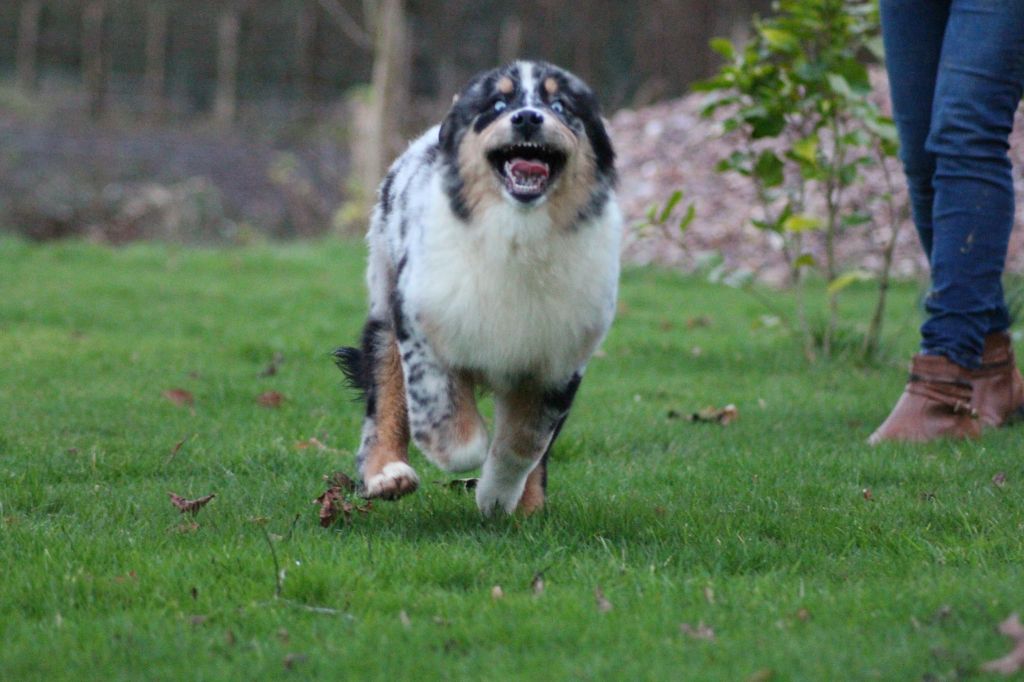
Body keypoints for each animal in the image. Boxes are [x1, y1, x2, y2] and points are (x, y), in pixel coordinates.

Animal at [335, 59, 618, 516]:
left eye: (560, 105)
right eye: (498, 105)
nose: (527, 118)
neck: (517, 236)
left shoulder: (559, 359)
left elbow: (526, 443)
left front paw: (499, 498)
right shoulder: (419, 317)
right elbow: (439, 402)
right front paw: (458, 453)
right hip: (384, 301)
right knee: (385, 391)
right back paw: (387, 475)